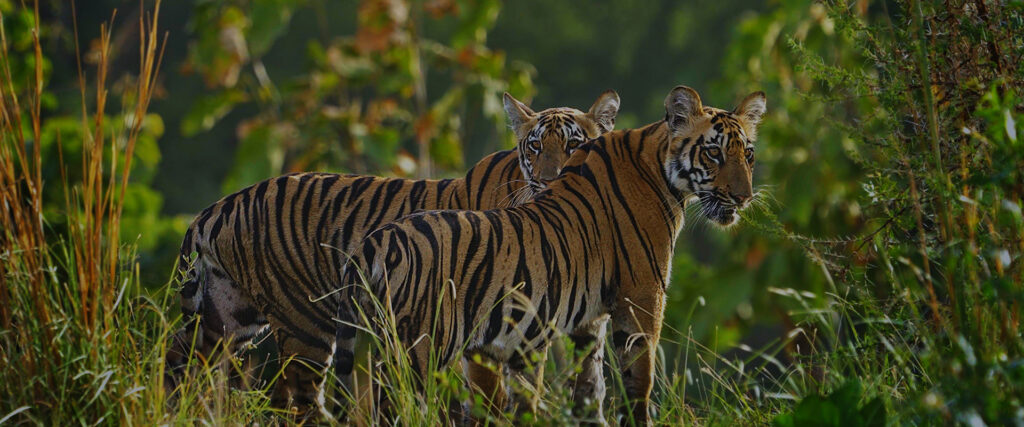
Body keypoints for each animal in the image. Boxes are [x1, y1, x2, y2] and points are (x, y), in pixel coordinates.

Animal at [165, 90, 621, 416]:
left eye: (573, 145)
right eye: (535, 147)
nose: (547, 181)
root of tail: (217, 207)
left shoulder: (588, 321)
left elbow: (591, 390)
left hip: (227, 317)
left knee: (182, 363)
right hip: (305, 322)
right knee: (295, 399)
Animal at [334, 85, 766, 425]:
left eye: (748, 154)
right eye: (713, 153)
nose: (744, 198)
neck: (659, 166)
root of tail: (376, 241)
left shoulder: (589, 319)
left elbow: (590, 387)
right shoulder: (643, 298)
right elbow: (639, 382)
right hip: (417, 349)